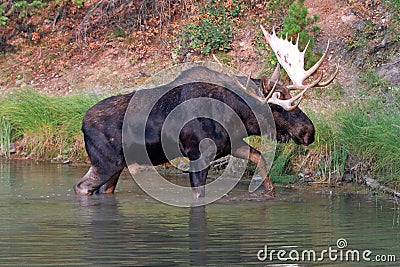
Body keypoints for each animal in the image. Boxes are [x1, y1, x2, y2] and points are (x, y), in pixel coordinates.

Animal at [72, 26, 338, 199]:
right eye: (276, 106)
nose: (309, 132)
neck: (236, 116)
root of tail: (82, 124)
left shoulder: (232, 145)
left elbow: (260, 157)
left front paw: (270, 193)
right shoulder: (198, 154)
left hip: (116, 166)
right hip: (106, 162)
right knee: (81, 187)